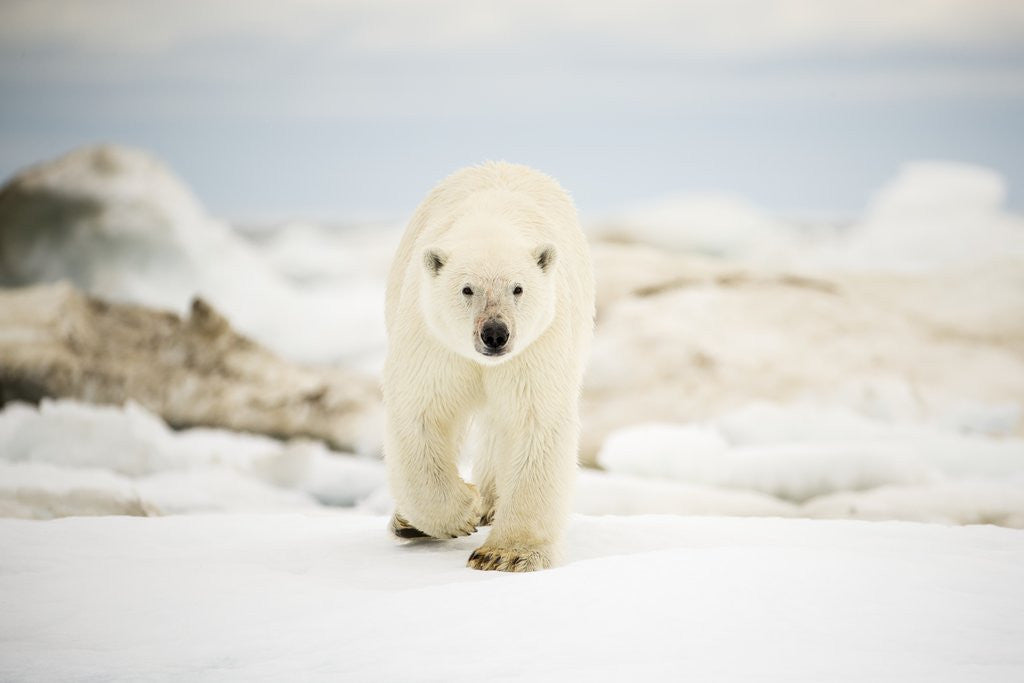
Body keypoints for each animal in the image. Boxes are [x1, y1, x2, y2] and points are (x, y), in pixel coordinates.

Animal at [383, 161, 595, 572]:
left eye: (518, 288)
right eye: (467, 289)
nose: (495, 333)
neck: (491, 223)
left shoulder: (537, 345)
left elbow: (535, 421)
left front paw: (506, 554)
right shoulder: (433, 340)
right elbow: (420, 412)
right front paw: (462, 510)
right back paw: (408, 523)